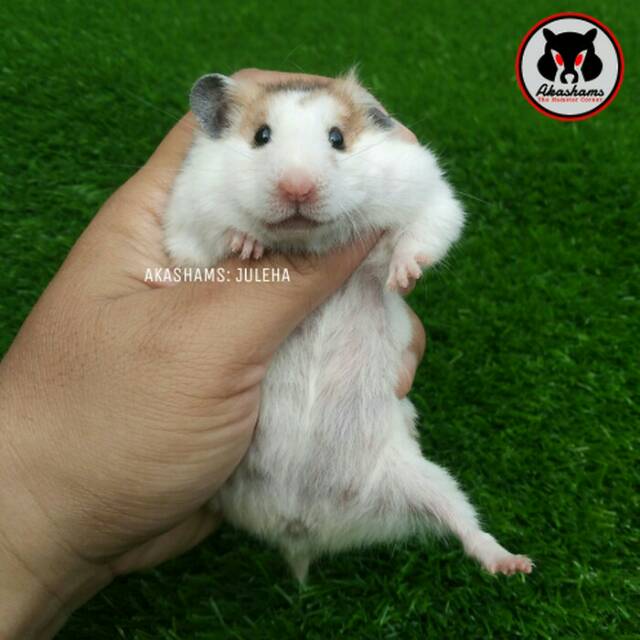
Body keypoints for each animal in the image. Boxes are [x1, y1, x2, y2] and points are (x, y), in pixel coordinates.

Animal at [164, 70, 532, 581]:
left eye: (337, 138)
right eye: (261, 136)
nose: (297, 188)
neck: (307, 240)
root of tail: (301, 529)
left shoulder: (431, 195)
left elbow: (421, 235)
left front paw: (403, 276)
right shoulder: (185, 220)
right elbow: (209, 240)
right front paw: (247, 247)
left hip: (425, 480)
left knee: (465, 525)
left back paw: (515, 565)